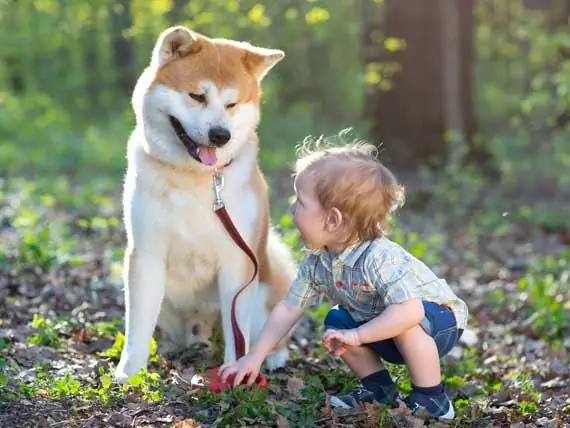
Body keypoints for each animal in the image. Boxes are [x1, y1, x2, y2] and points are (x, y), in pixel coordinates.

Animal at [112, 25, 296, 382]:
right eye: (197, 96)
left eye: (232, 103)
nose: (220, 135)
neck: (195, 179)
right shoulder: (146, 254)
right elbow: (138, 327)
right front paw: (130, 374)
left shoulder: (238, 262)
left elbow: (238, 336)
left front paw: (236, 372)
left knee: (266, 336)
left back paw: (271, 358)